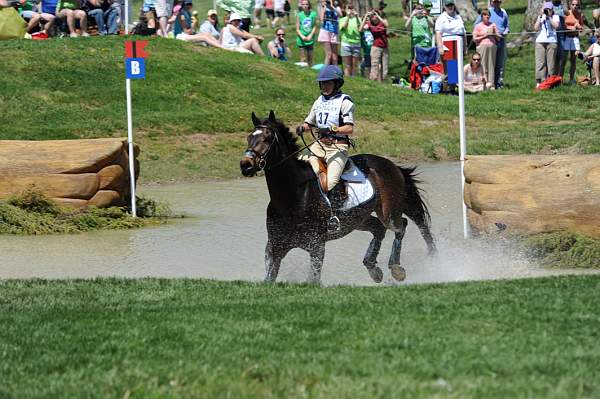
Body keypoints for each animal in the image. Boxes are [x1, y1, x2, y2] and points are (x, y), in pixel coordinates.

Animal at [239, 110, 436, 284]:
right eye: (249, 138)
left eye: (266, 139)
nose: (245, 165)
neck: (292, 196)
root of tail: (392, 165)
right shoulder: (274, 248)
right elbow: (269, 279)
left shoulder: (317, 246)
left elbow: (313, 280)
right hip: (358, 219)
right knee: (379, 229)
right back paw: (374, 269)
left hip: (388, 212)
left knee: (401, 226)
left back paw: (398, 268)